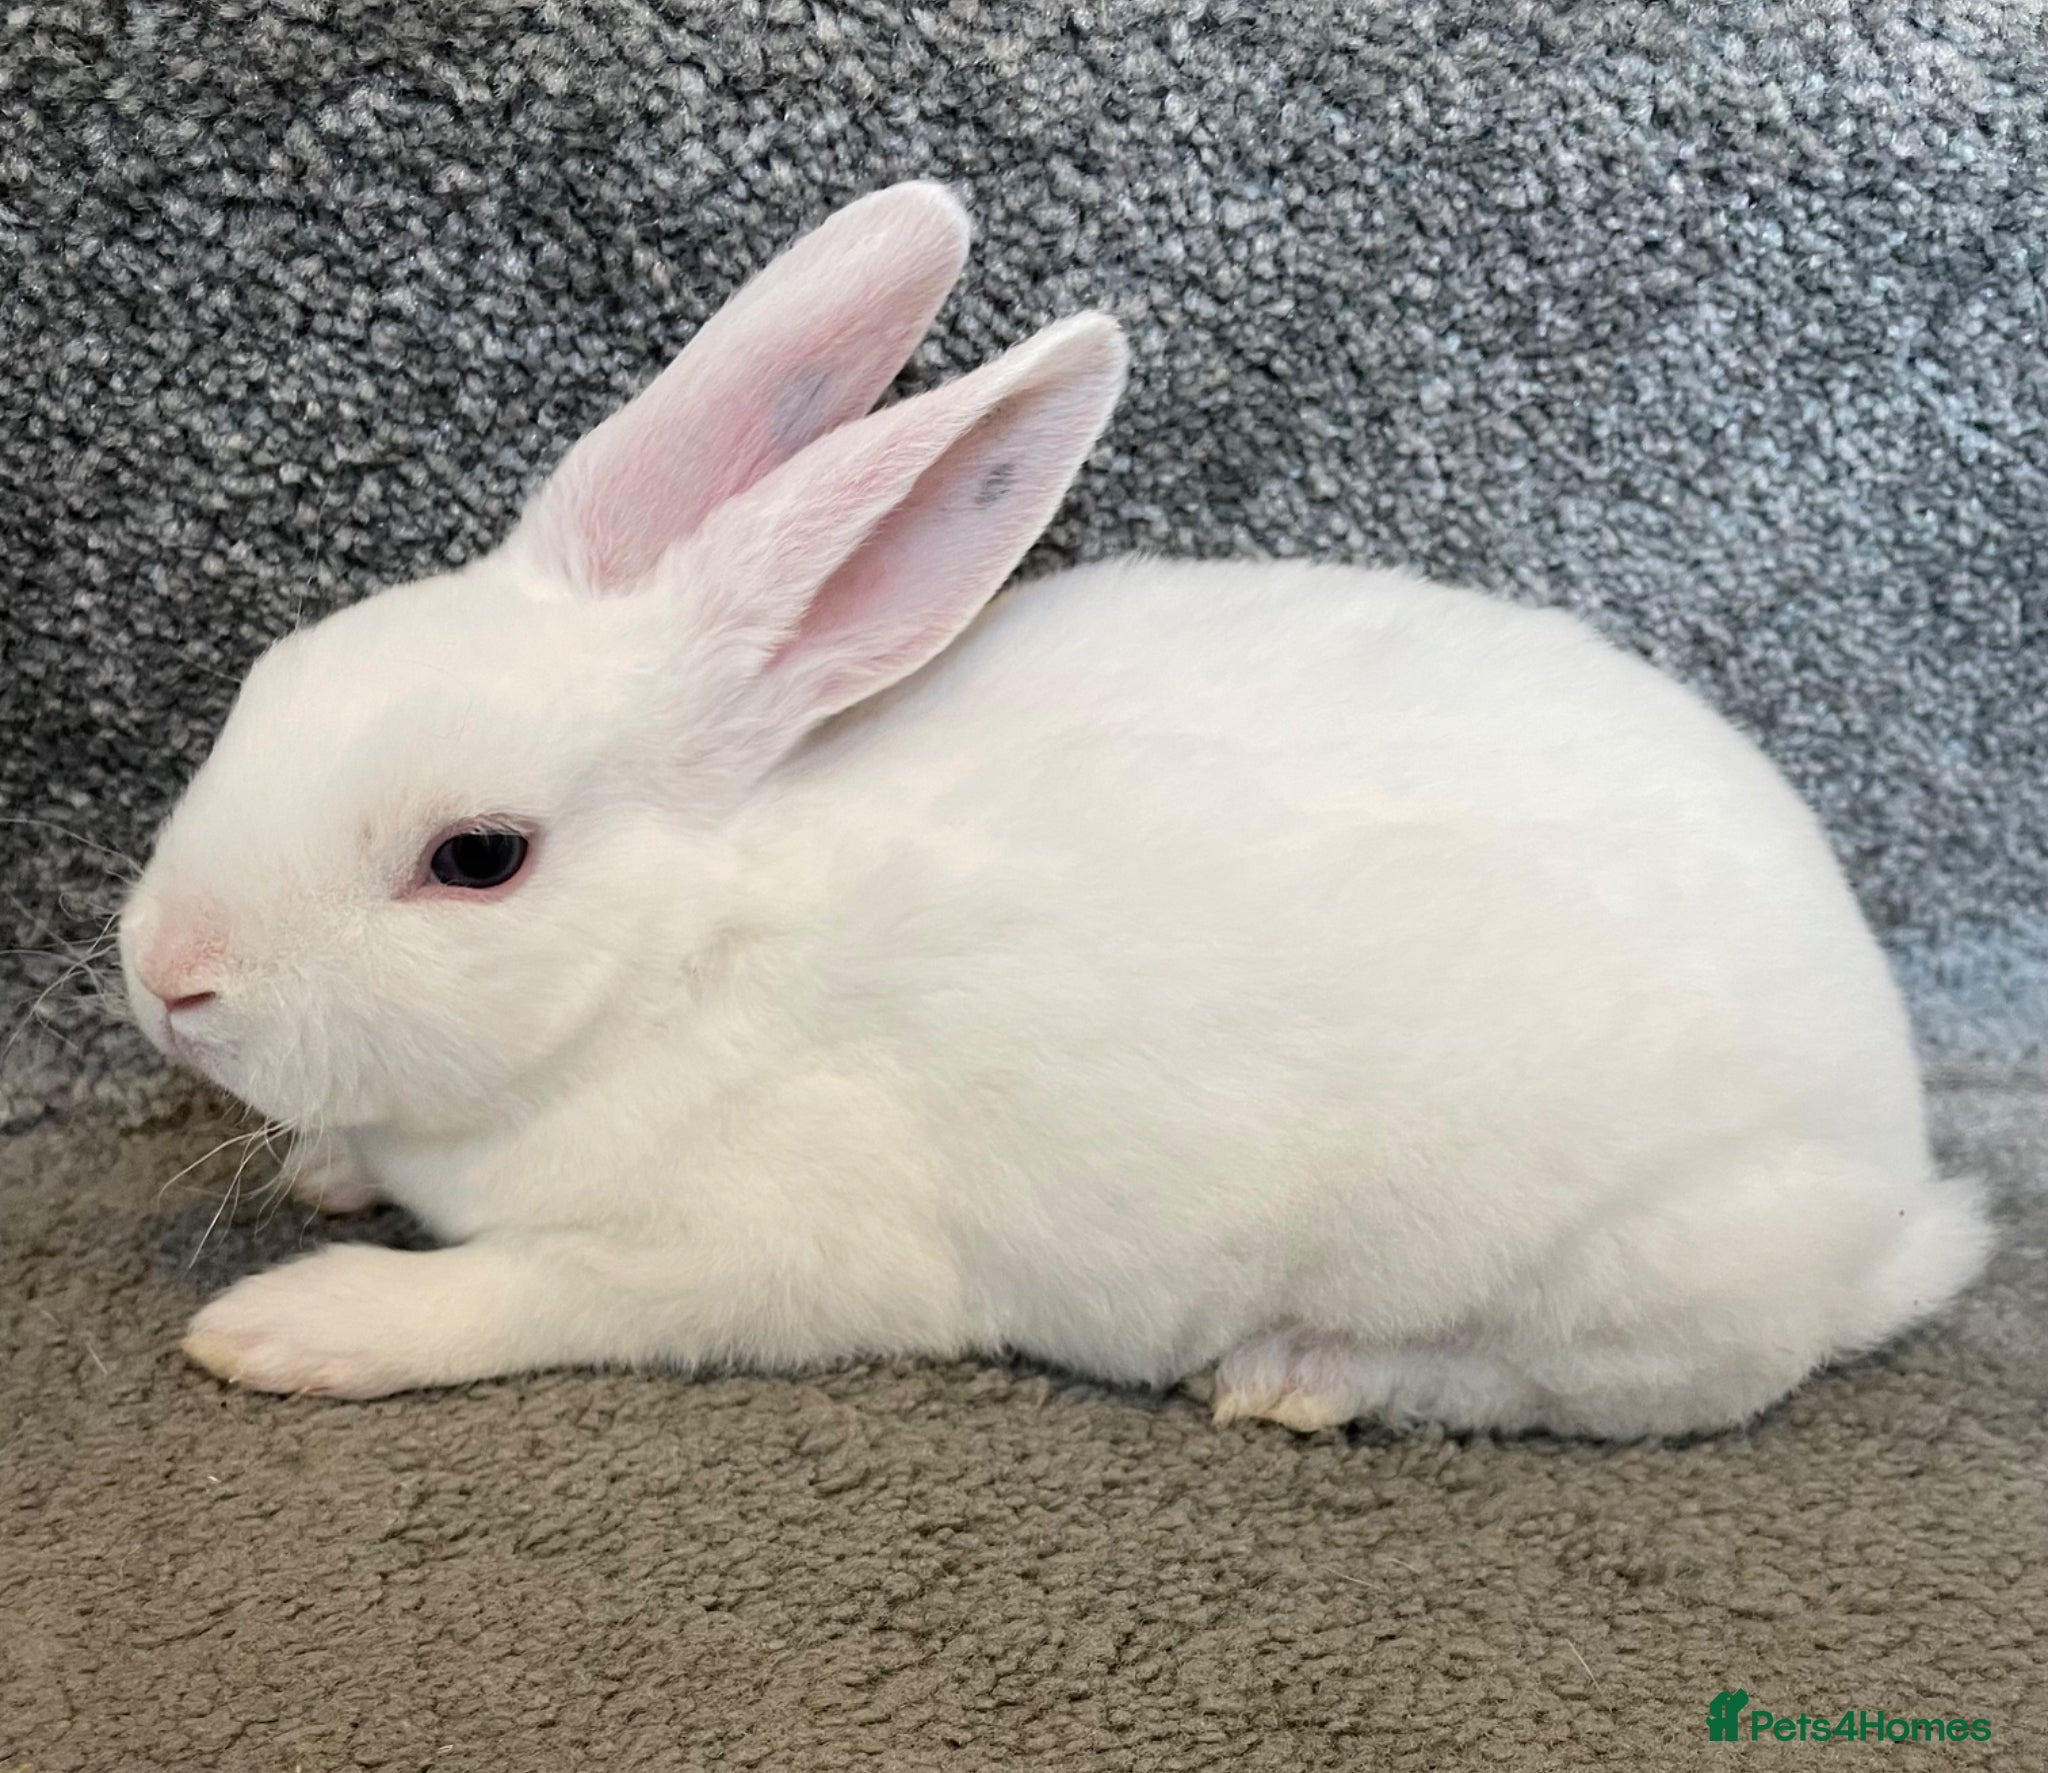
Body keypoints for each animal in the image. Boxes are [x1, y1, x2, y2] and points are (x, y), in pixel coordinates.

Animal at [118, 181, 1990, 1437]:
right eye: (269, 681)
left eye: (477, 859)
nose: (164, 974)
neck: (687, 949)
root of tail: (1897, 1199)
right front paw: (326, 1168)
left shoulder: (743, 1247)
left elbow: (518, 1291)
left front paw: (292, 1323)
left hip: (1595, 1277)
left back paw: (1293, 1375)